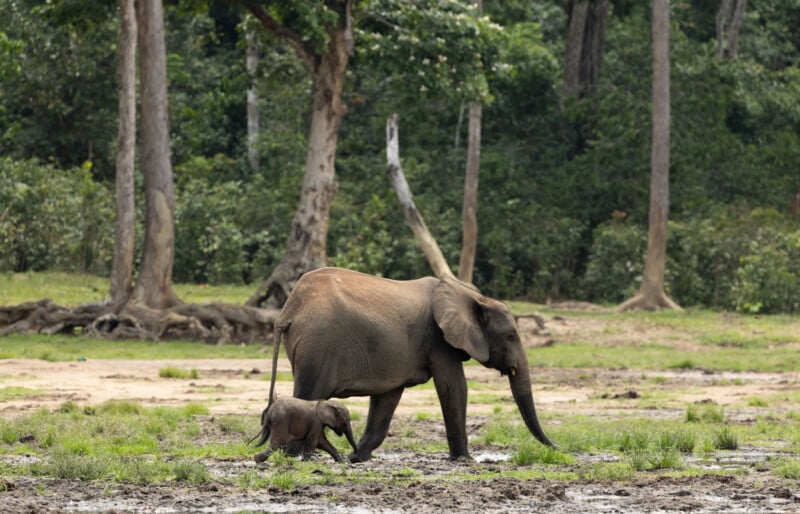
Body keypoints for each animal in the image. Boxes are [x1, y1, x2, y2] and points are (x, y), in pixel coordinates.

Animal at [267, 267, 555, 463]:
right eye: (511, 336)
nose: (557, 449)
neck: (473, 296)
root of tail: (288, 311)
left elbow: (387, 399)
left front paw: (358, 458)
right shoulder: (438, 339)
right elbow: (453, 387)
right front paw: (465, 459)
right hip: (318, 346)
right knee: (308, 394)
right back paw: (294, 456)